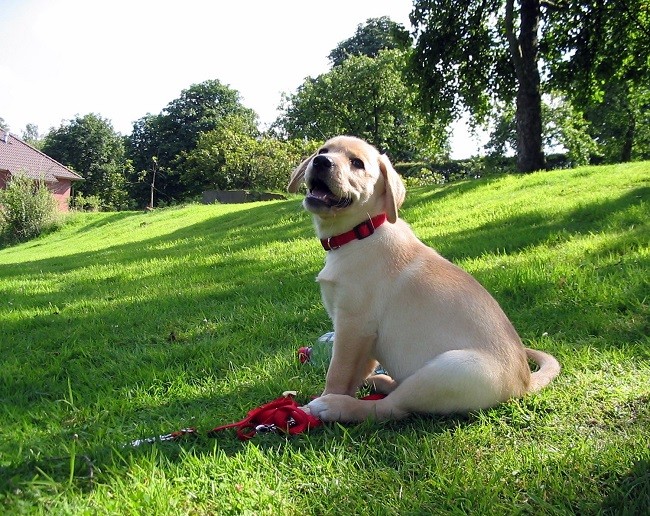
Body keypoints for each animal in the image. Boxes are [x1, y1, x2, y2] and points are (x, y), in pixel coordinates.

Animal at [288, 135, 556, 422]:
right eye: (323, 150)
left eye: (357, 163)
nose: (321, 161)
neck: (361, 232)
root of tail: (524, 383)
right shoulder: (362, 335)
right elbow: (356, 372)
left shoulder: (354, 324)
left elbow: (338, 372)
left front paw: (317, 404)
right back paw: (379, 382)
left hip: (446, 371)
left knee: (391, 408)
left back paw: (334, 406)